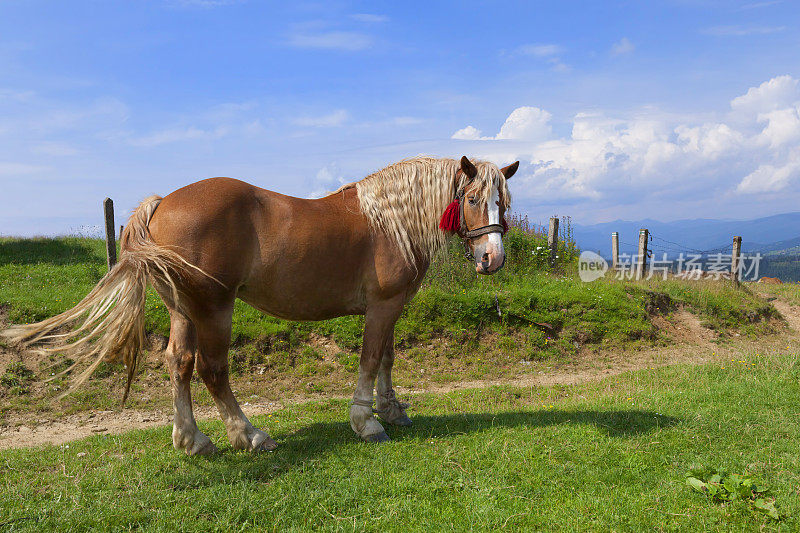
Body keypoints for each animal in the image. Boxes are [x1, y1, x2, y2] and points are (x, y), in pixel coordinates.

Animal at [1, 156, 520, 456]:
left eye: (505, 200)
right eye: (474, 197)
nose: (493, 259)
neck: (389, 221)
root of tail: (163, 203)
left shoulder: (390, 307)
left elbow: (388, 358)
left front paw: (391, 409)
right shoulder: (381, 307)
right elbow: (371, 359)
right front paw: (366, 421)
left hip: (183, 311)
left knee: (178, 364)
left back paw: (193, 440)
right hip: (214, 309)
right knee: (211, 370)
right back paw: (248, 434)